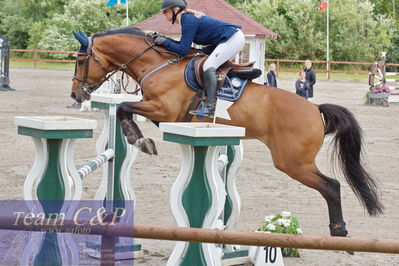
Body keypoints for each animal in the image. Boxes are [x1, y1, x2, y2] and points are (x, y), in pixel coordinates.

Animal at [71, 27, 384, 237]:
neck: (157, 64)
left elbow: (125, 107)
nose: (76, 94)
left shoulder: (164, 111)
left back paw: (339, 230)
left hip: (293, 162)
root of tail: (315, 109)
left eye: (80, 60)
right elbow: (126, 107)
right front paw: (141, 139)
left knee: (331, 185)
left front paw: (141, 140)